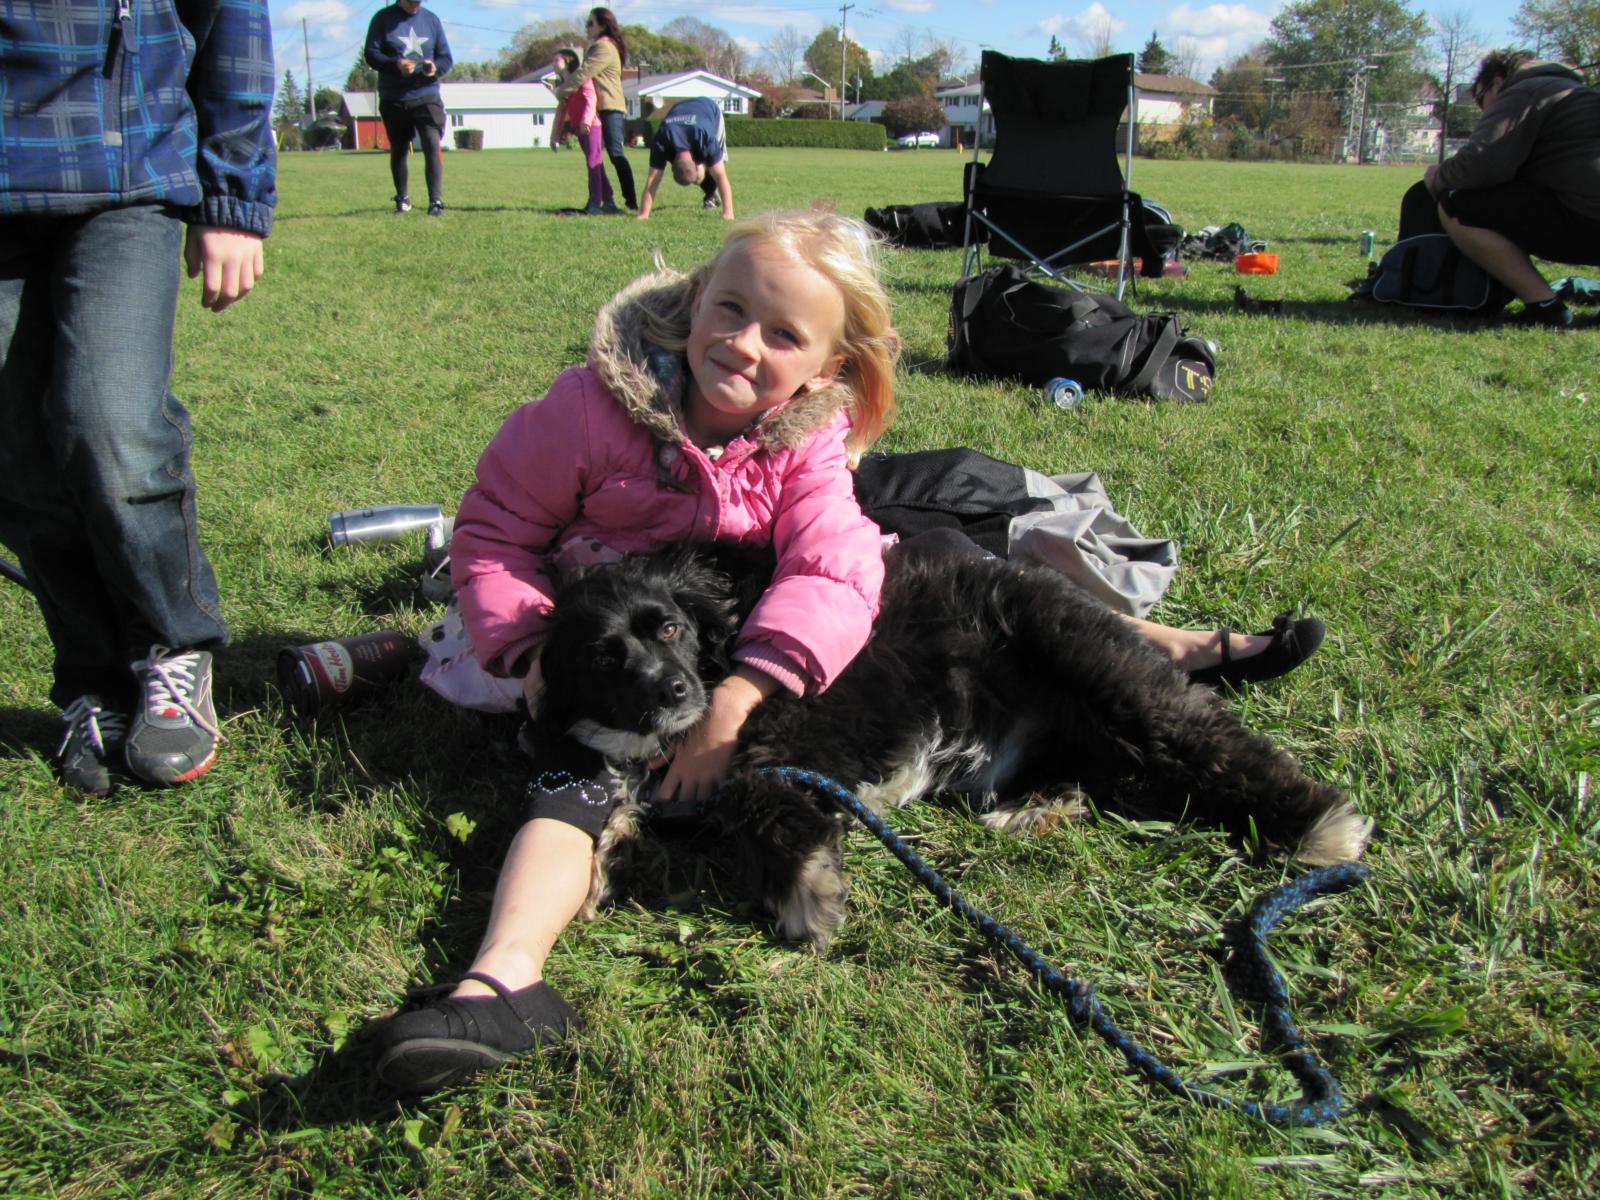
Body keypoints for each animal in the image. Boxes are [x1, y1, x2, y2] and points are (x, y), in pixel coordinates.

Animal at [532, 539, 1371, 947]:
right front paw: (600, 866)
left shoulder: (790, 743)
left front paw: (807, 890)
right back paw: (1036, 810)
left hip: (1106, 674)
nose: (672, 691)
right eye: (603, 657)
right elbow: (619, 817)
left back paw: (1319, 825)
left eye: (669, 629)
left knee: (1204, 739)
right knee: (1102, 779)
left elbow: (758, 798)